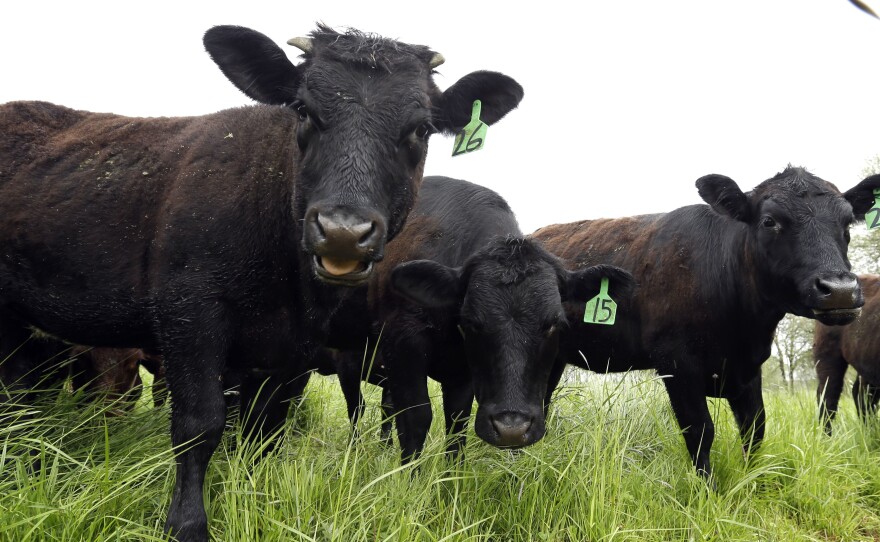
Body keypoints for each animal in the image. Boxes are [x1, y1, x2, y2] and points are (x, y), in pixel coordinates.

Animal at [0, 23, 524, 540]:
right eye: (303, 110)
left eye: (420, 128)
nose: (343, 231)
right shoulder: (190, 317)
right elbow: (199, 425)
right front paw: (186, 523)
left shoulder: (290, 352)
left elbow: (263, 432)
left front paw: (251, 499)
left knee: (20, 398)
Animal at [324, 177, 632, 464]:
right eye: (472, 322)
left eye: (554, 323)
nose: (512, 429)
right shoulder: (403, 344)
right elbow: (415, 419)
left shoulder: (463, 374)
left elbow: (456, 424)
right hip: (348, 356)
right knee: (357, 407)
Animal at [528, 168, 880, 482]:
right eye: (769, 221)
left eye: (847, 222)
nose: (840, 290)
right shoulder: (677, 364)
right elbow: (700, 432)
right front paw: (706, 492)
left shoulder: (748, 369)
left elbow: (755, 428)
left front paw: (750, 483)